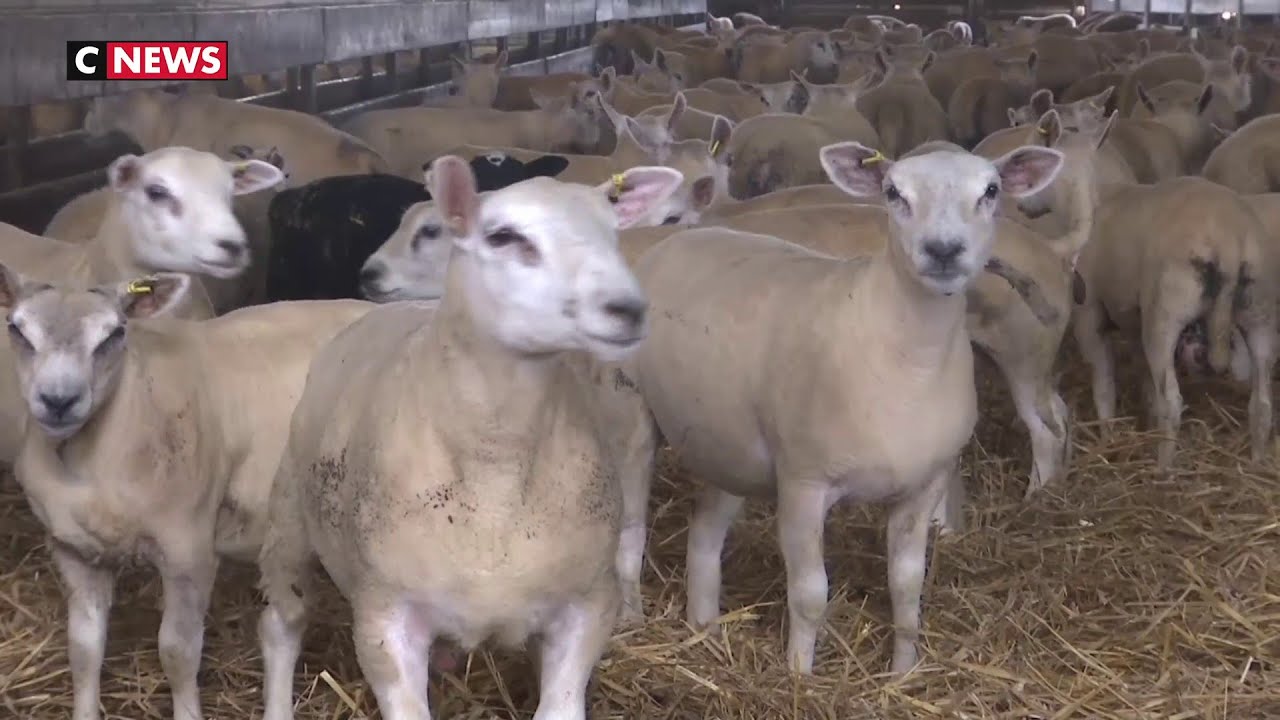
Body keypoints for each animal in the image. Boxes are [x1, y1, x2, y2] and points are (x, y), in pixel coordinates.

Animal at [0, 266, 372, 720]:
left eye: (115, 333)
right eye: (16, 328)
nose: (58, 400)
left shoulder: (188, 550)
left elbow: (178, 653)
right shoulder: (73, 550)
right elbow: (83, 650)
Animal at [594, 142, 1063, 675]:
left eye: (990, 190)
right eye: (893, 192)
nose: (943, 250)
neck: (907, 356)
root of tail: (679, 238)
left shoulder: (923, 487)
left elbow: (908, 588)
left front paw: (903, 673)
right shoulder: (804, 484)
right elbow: (810, 595)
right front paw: (799, 676)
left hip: (725, 442)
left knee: (705, 533)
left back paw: (704, 627)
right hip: (628, 414)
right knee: (630, 534)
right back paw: (633, 619)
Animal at [1072, 177, 1277, 470]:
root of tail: (1230, 238)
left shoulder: (1089, 316)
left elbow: (1103, 383)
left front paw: (1107, 437)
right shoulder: (1134, 324)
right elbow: (1143, 378)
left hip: (1165, 315)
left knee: (1171, 402)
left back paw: (1163, 469)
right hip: (1261, 313)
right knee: (1262, 403)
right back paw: (1256, 461)